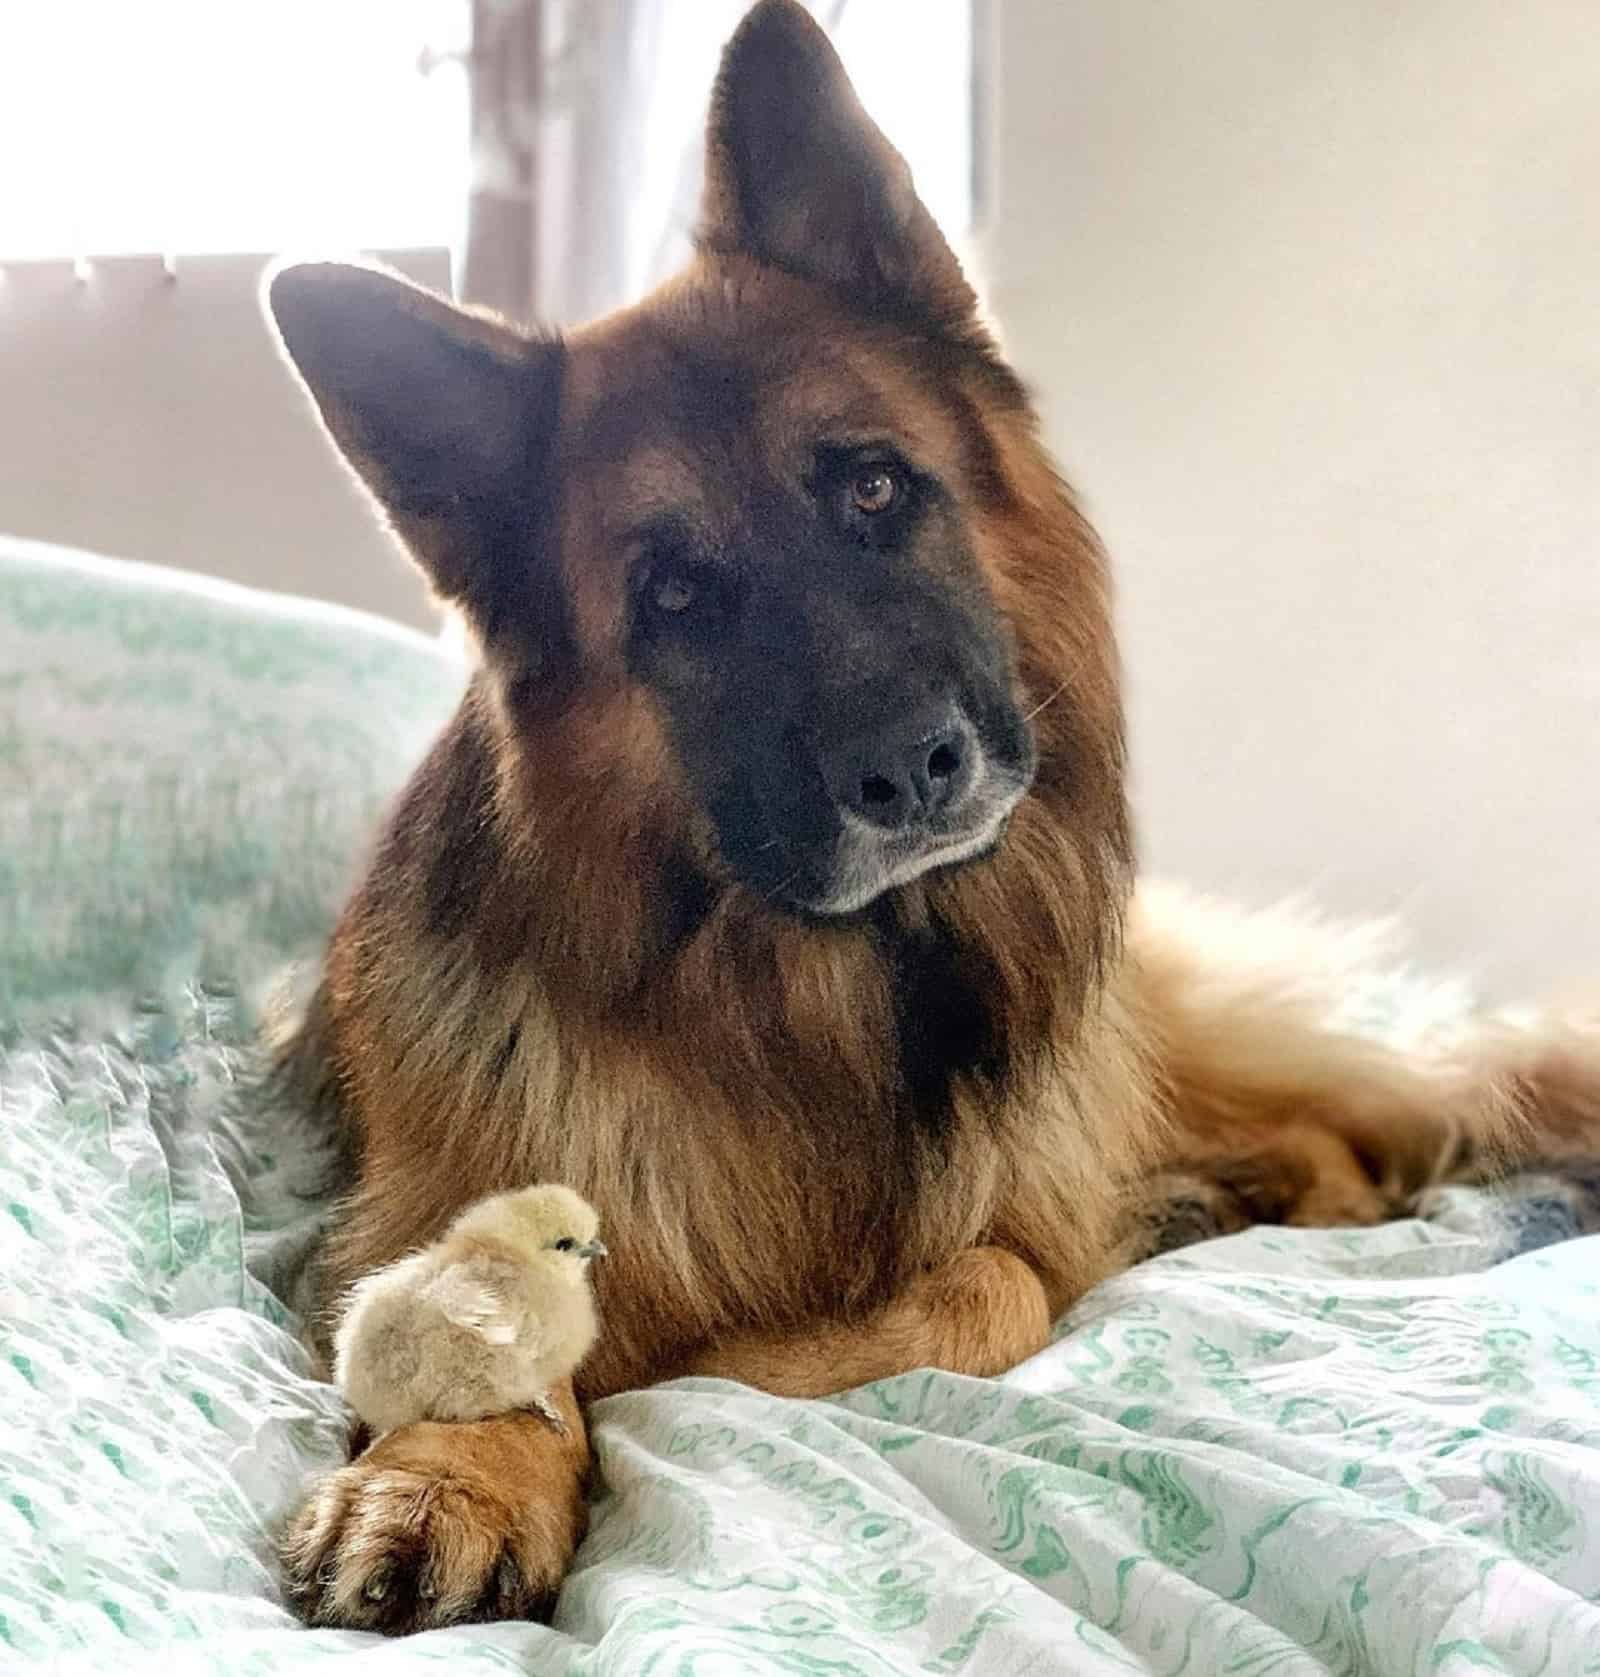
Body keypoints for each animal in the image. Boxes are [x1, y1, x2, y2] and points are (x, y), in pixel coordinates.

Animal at [264, 0, 1596, 1630]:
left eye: (874, 489)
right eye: (675, 594)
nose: (913, 772)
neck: (823, 997)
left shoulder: (1004, 1226)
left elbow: (985, 1281)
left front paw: (697, 1363)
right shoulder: (429, 1206)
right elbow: (481, 1305)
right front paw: (453, 1471)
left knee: (1377, 1132)